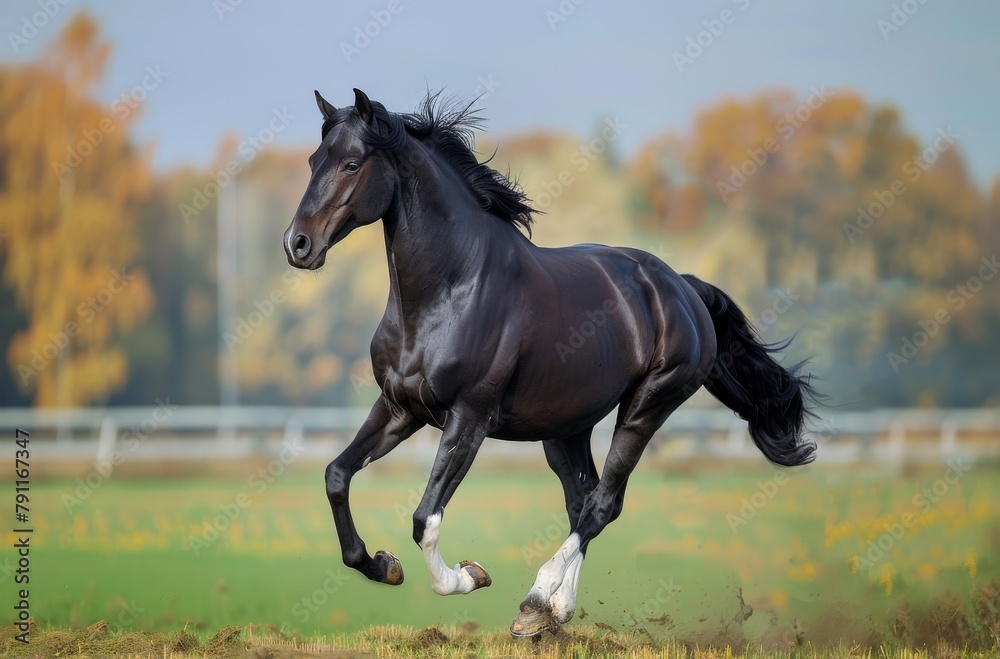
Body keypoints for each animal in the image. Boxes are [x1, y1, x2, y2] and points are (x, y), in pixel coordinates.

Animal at [283, 88, 818, 637]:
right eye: (313, 160)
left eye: (351, 163)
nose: (297, 244)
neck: (449, 290)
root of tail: (683, 288)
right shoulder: (399, 408)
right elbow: (337, 475)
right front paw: (382, 565)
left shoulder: (469, 418)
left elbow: (425, 518)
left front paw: (469, 576)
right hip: (566, 427)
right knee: (582, 501)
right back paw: (555, 611)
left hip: (647, 406)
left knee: (603, 503)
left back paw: (536, 601)